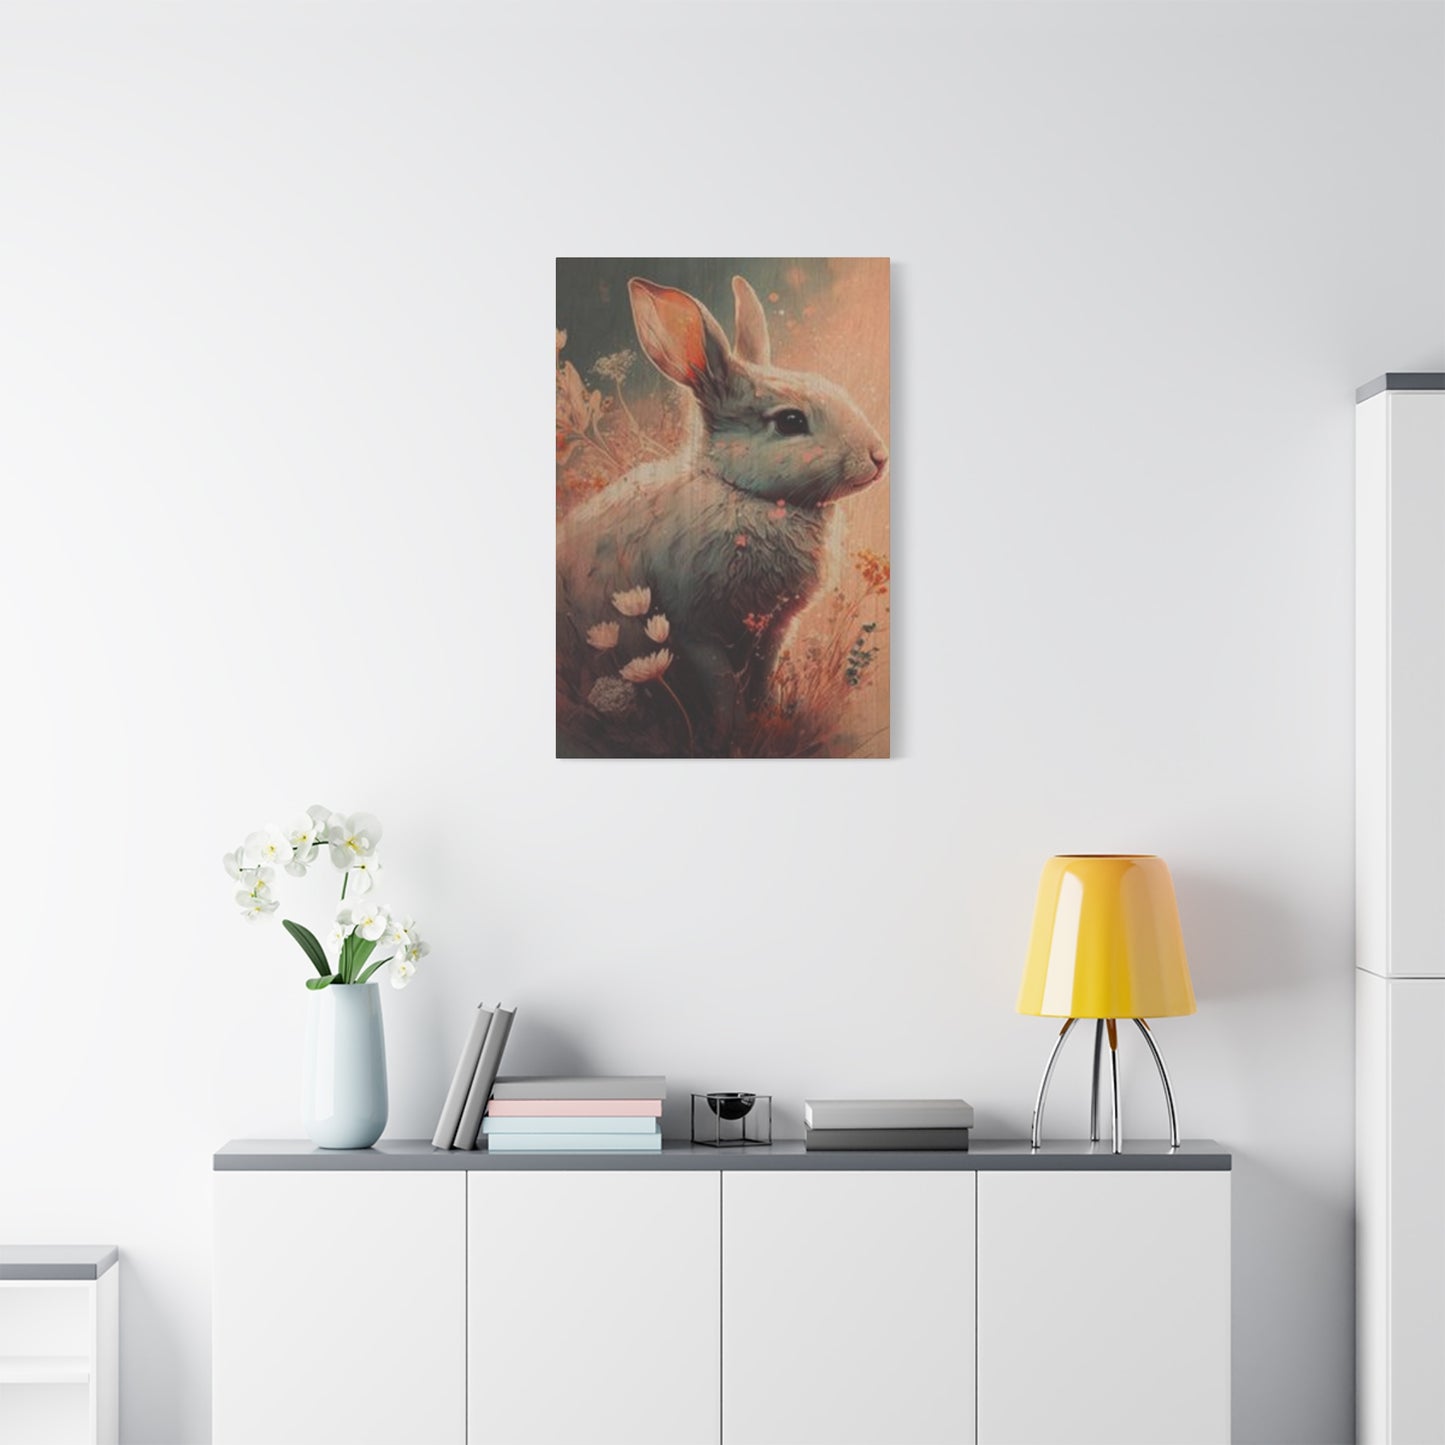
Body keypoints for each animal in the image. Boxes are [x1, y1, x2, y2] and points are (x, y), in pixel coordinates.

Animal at [557, 273, 888, 757]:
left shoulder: (773, 630)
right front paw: (731, 735)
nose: (879, 457)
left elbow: (761, 677)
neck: (745, 492)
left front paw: (767, 718)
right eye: (790, 421)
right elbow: (722, 685)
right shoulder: (695, 628)